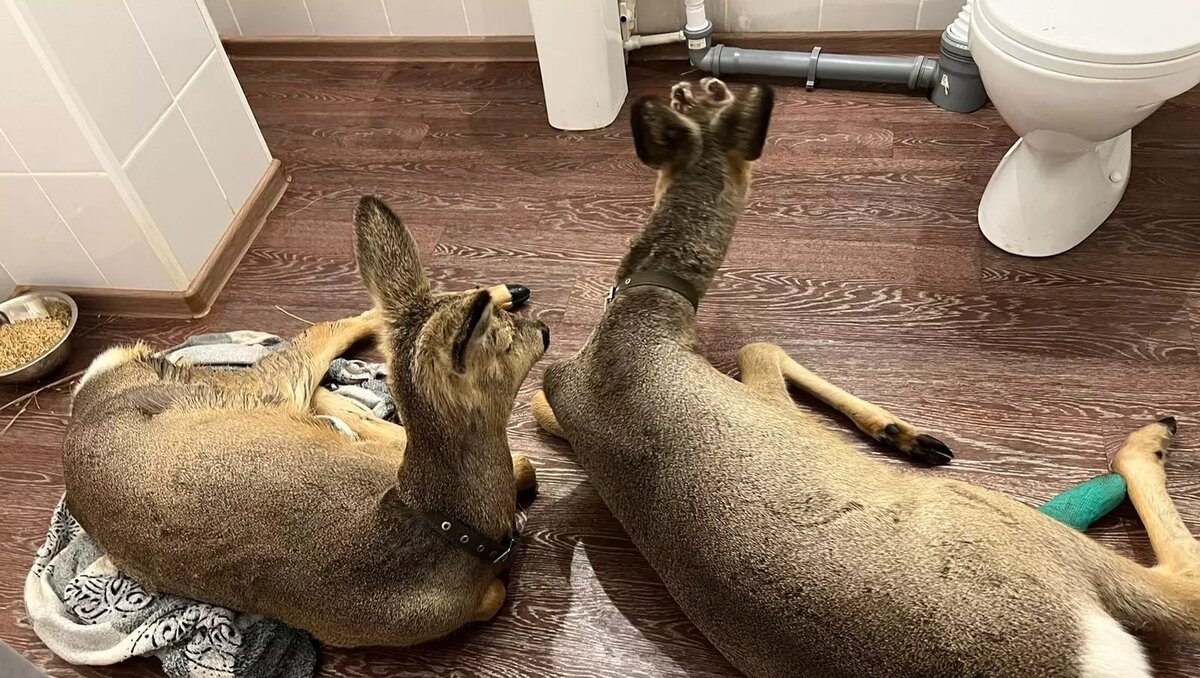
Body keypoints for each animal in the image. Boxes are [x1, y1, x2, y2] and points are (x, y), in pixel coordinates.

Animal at [63, 195, 549, 643]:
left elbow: (522, 464)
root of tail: (90, 387)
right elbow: (498, 585)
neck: (449, 530)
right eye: (503, 341)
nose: (544, 330)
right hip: (251, 387)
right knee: (317, 339)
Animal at [532, 80, 1200, 676]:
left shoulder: (560, 387)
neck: (636, 319)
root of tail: (1088, 663)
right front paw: (902, 431)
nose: (699, 88)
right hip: (1000, 520)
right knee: (1182, 589)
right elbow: (761, 345)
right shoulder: (764, 404)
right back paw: (1150, 435)